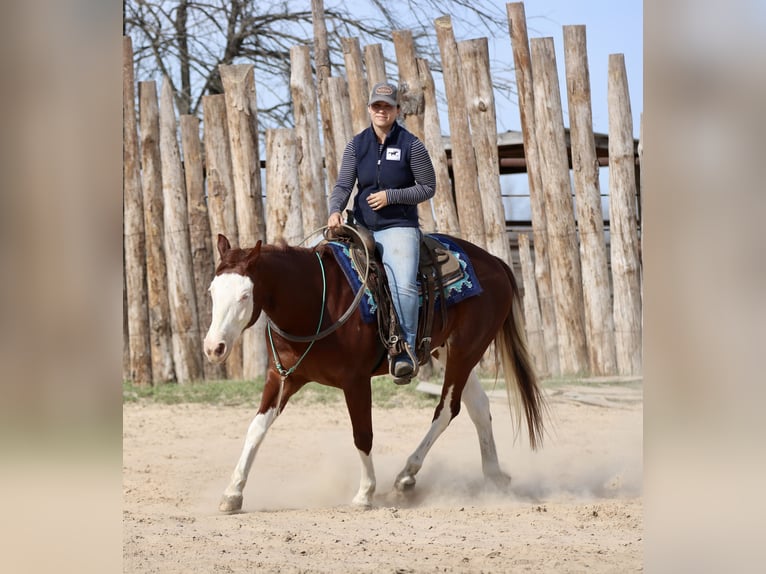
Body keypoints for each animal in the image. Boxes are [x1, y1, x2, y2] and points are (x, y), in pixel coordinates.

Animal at [203, 231, 547, 512]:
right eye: (211, 292)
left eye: (244, 295)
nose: (213, 347)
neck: (315, 301)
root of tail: (495, 262)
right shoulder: (283, 377)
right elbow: (256, 429)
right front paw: (232, 493)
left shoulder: (355, 382)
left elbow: (362, 434)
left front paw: (365, 493)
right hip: (449, 350)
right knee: (478, 406)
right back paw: (493, 476)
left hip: (466, 350)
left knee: (447, 408)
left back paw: (407, 475)